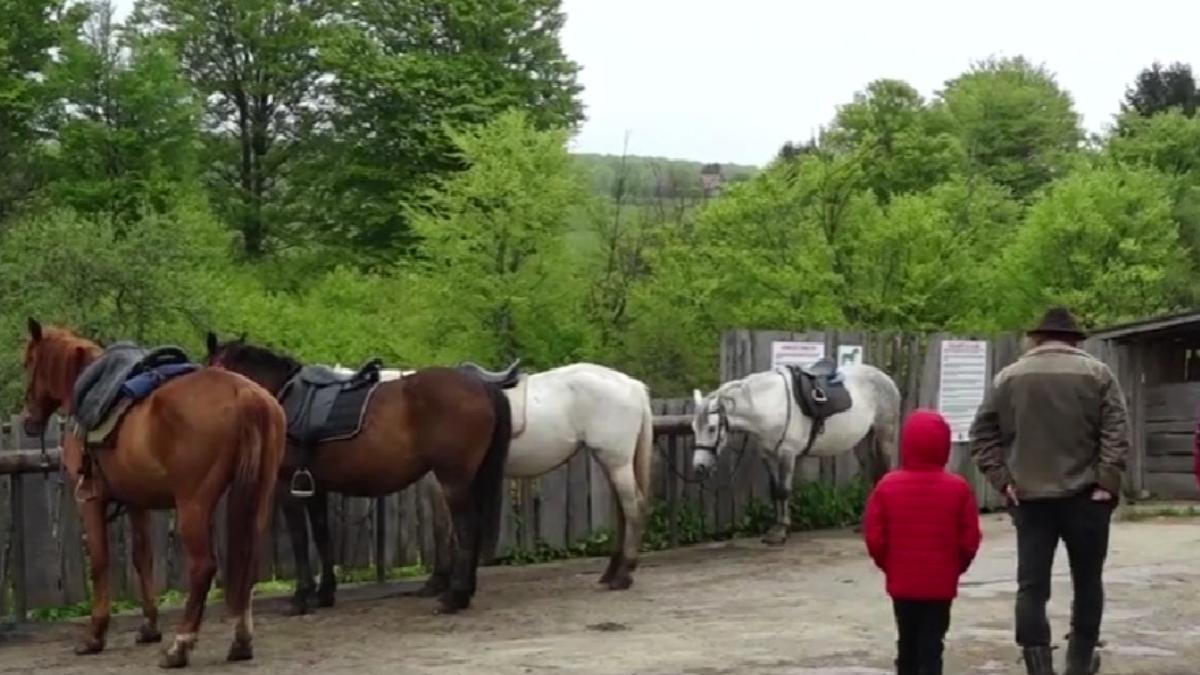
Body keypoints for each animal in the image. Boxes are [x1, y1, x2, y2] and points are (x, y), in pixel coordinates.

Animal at [21, 317, 285, 662]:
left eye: (28, 362)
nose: (28, 421)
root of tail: (245, 395)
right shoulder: (137, 502)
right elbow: (142, 559)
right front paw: (149, 627)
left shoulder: (91, 501)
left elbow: (100, 562)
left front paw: (94, 636)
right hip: (258, 497)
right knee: (247, 560)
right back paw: (241, 641)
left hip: (193, 504)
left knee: (203, 567)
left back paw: (180, 645)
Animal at [201, 331, 511, 614]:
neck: (282, 398)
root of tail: (480, 385)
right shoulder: (315, 486)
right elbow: (322, 535)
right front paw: (324, 594)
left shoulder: (286, 485)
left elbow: (300, 539)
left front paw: (301, 598)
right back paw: (464, 591)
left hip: (453, 480)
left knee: (467, 528)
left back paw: (454, 597)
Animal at [691, 360, 897, 542]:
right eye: (693, 428)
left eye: (711, 428)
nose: (699, 467)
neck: (768, 405)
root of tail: (885, 378)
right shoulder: (768, 455)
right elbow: (775, 490)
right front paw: (777, 527)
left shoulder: (787, 453)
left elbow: (783, 490)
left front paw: (780, 532)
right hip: (863, 442)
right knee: (871, 475)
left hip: (885, 435)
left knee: (887, 472)